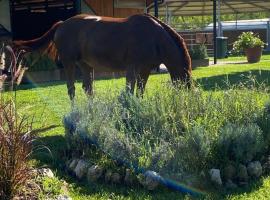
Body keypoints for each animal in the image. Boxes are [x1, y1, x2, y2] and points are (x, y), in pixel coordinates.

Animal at [13, 13, 192, 100]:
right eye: (185, 84)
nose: (185, 102)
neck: (154, 37)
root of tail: (62, 24)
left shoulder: (145, 69)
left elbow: (140, 91)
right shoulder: (133, 68)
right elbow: (129, 90)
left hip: (85, 64)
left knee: (87, 88)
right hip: (69, 63)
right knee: (71, 89)